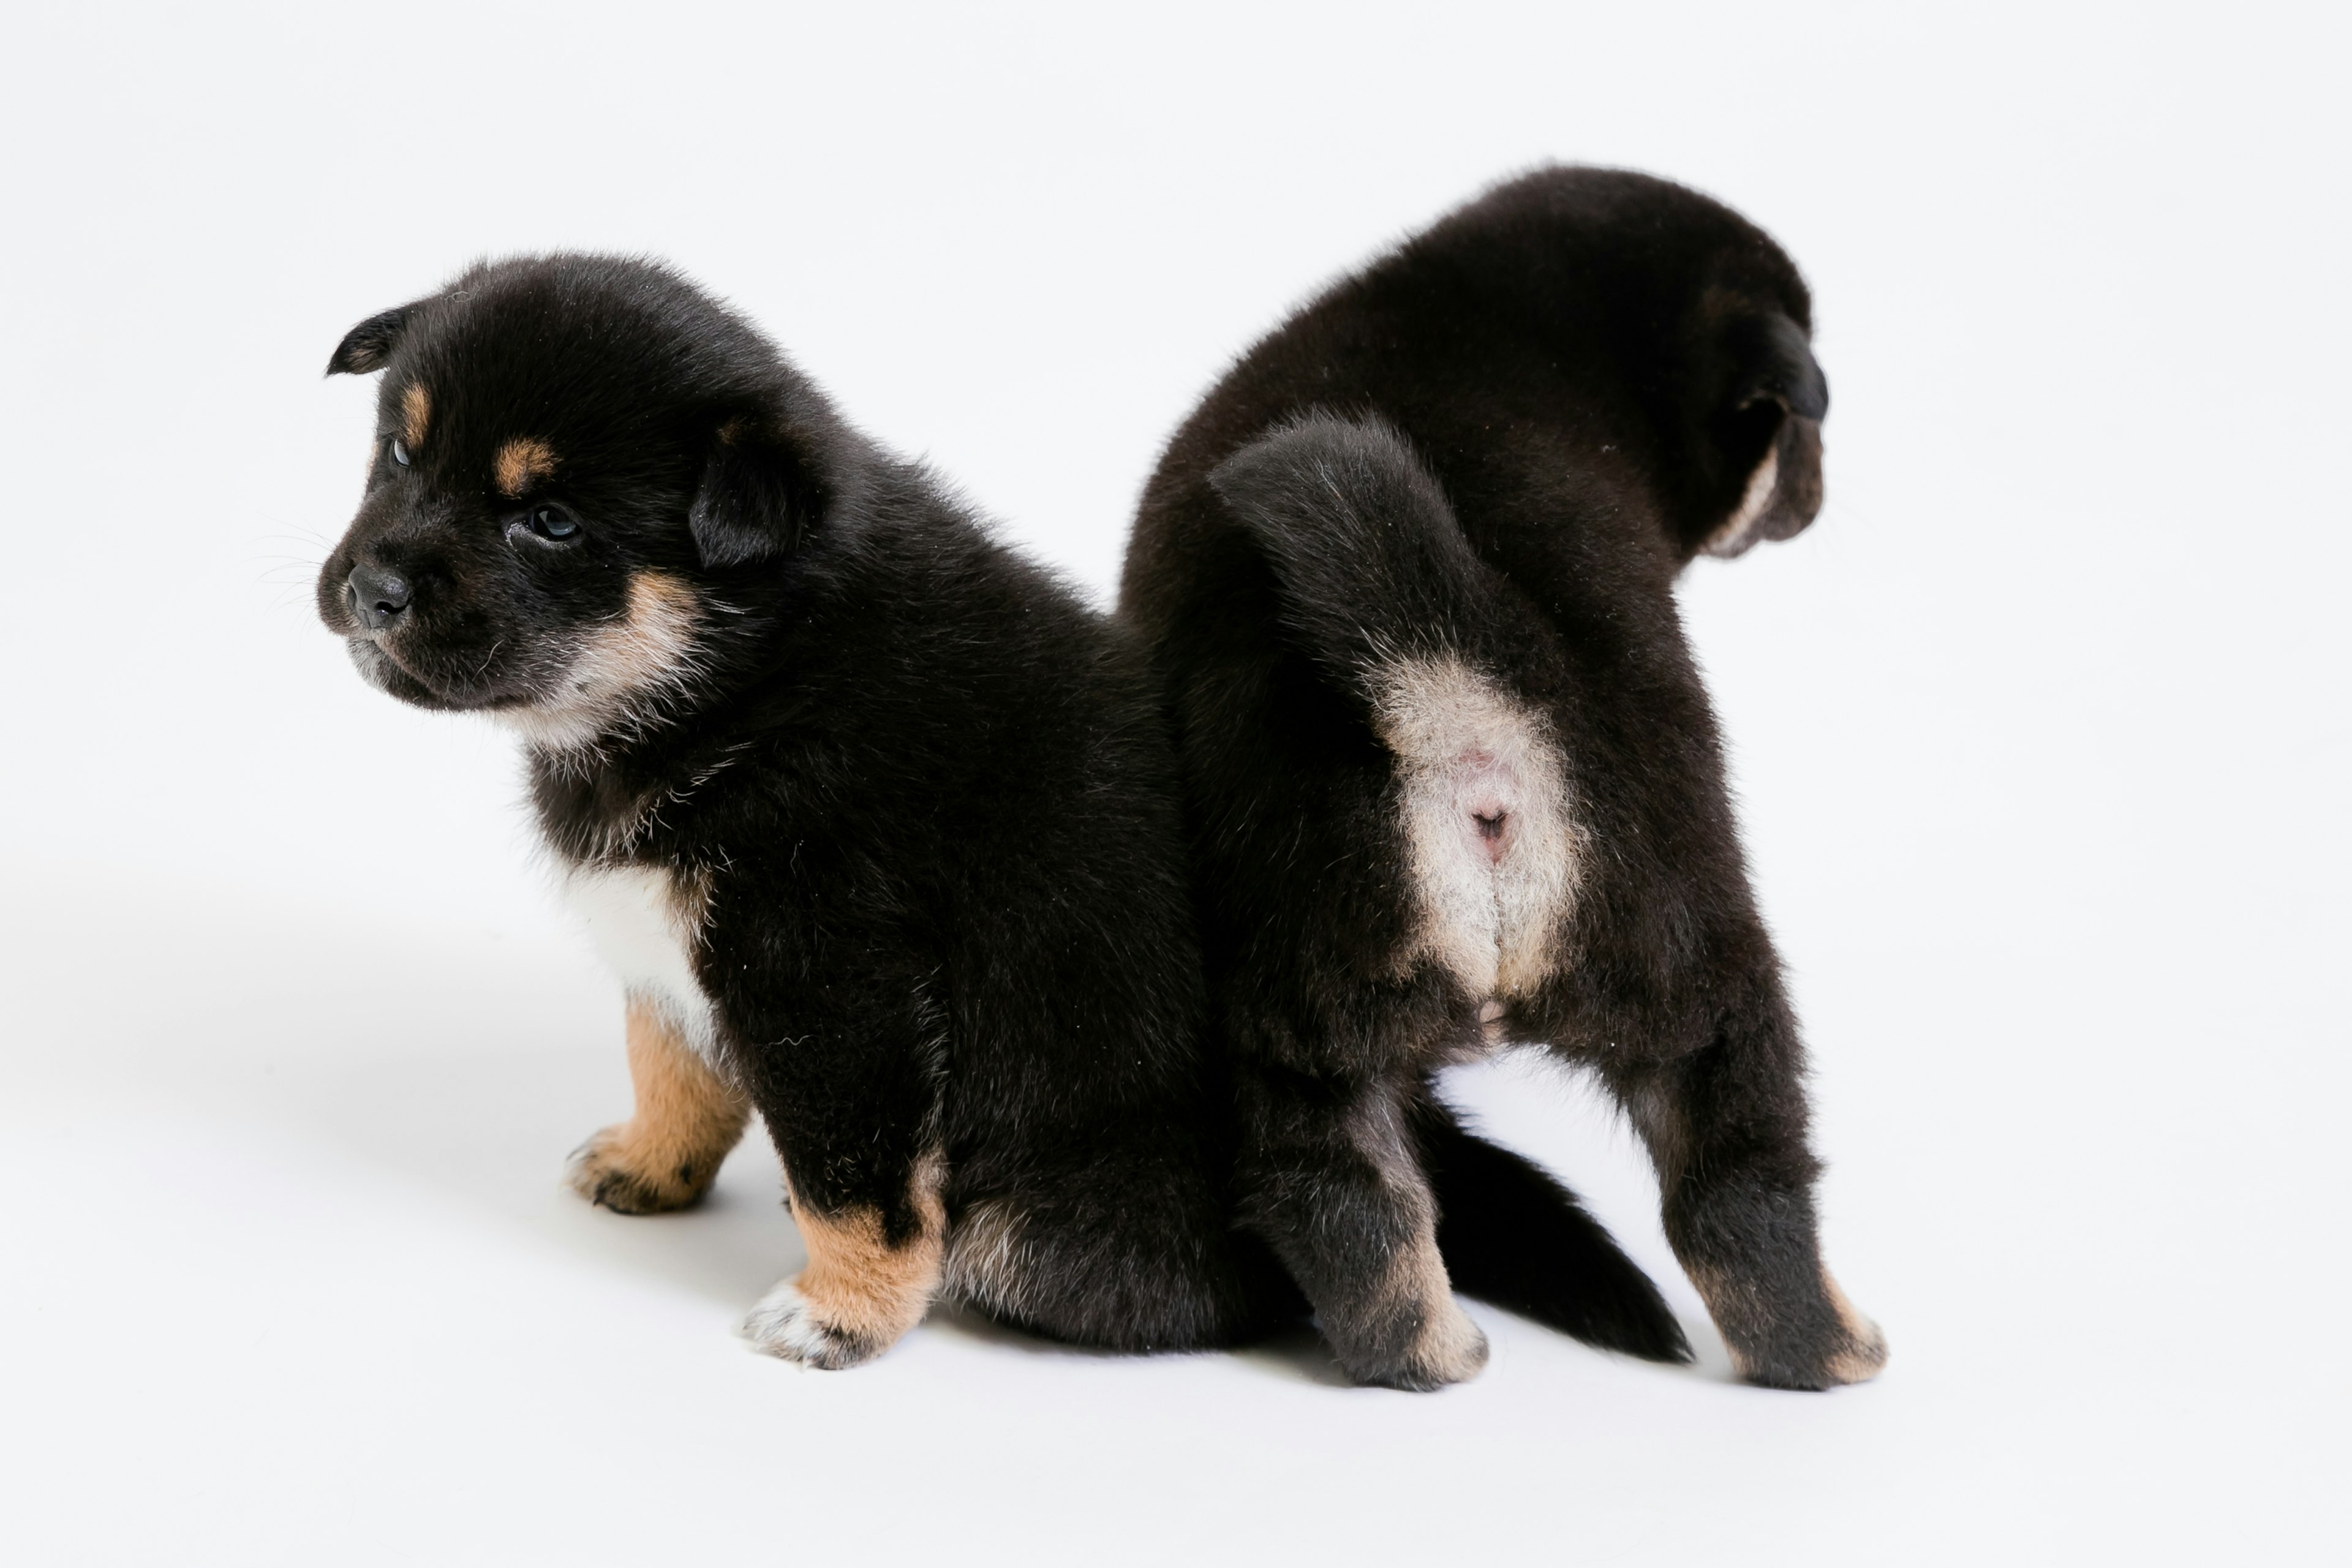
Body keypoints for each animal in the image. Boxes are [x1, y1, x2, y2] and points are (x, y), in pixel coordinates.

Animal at [312, 247, 1684, 1373]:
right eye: (400, 452)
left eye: (550, 520)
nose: (370, 590)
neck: (749, 676)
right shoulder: (674, 947)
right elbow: (676, 1066)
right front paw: (648, 1167)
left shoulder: (833, 983)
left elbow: (856, 1178)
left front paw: (840, 1315)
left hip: (1037, 1221)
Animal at [1119, 169, 1891, 1401]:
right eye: (1801, 420)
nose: (1814, 489)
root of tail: (1453, 682)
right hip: (1676, 957)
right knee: (1734, 1188)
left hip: (1317, 995)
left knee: (1351, 1197)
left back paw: (1438, 1350)